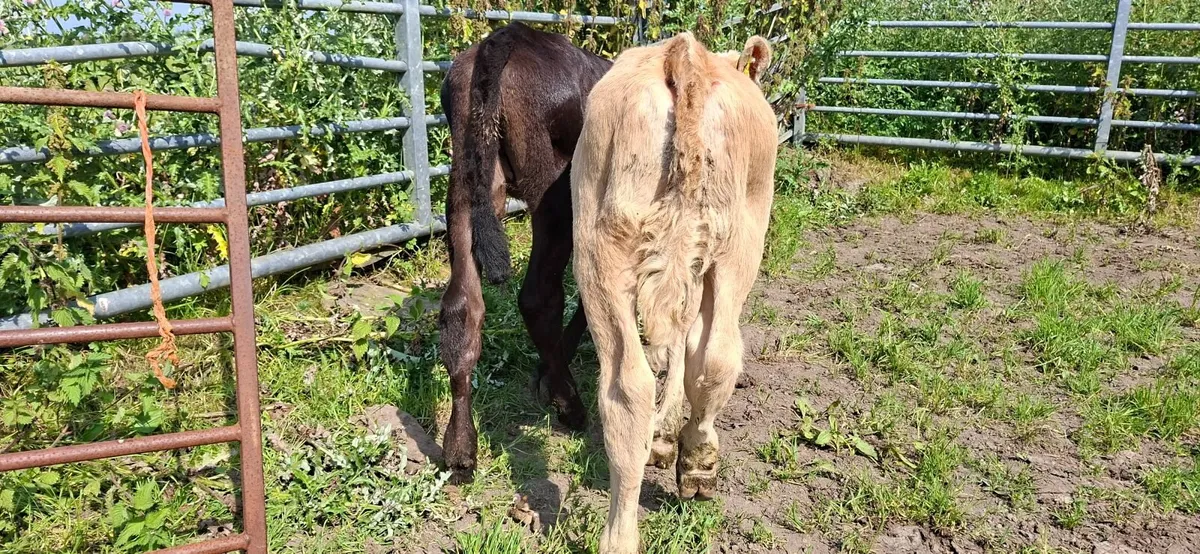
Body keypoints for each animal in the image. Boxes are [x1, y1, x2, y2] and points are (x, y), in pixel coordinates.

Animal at [438, 22, 612, 481]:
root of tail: (507, 36)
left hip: (467, 181)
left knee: (462, 305)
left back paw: (460, 448)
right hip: (555, 192)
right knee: (538, 297)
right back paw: (570, 405)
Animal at [570, 31, 775, 553]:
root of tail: (686, 56)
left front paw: (662, 434)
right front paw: (667, 434)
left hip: (605, 248)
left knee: (637, 382)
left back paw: (625, 531)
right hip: (738, 241)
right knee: (704, 360)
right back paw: (695, 463)